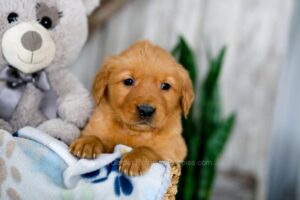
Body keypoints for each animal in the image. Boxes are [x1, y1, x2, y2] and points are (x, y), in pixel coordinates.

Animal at [69, 41, 195, 177]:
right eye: (128, 81)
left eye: (165, 86)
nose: (146, 110)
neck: (134, 132)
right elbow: (96, 137)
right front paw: (87, 142)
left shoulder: (171, 153)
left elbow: (149, 149)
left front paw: (135, 158)